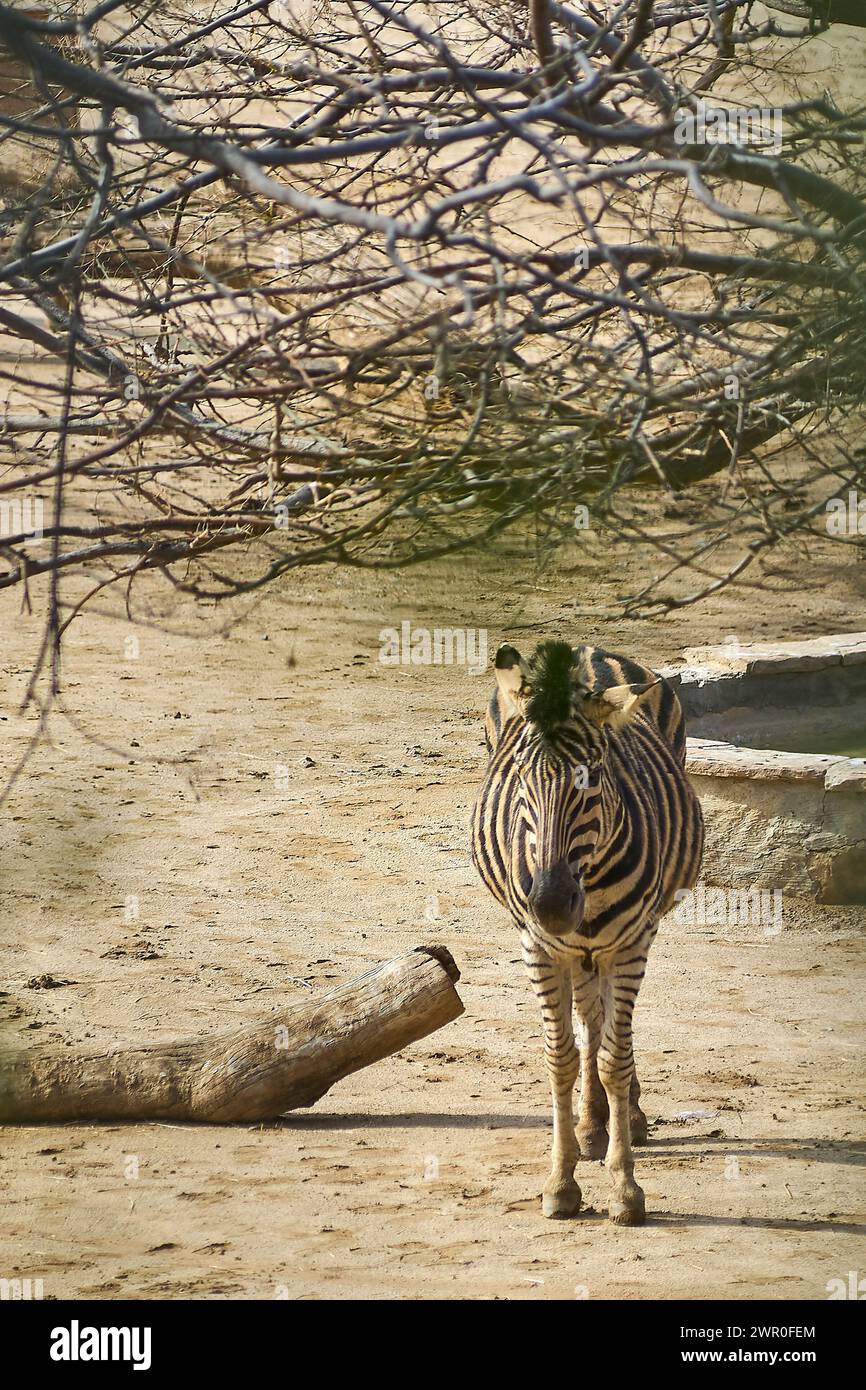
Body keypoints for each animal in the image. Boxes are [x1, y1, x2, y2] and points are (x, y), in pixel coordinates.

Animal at [475, 639, 706, 1228]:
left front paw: (624, 1186)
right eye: (520, 777)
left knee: (606, 1030)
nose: (552, 905)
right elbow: (562, 1056)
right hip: (574, 949)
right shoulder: (539, 946)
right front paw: (561, 1181)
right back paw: (589, 1124)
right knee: (589, 1018)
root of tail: (586, 648)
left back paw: (623, 1117)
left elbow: (613, 1058)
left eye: (593, 779)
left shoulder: (630, 943)